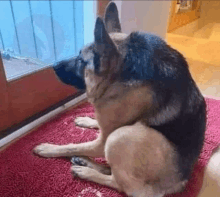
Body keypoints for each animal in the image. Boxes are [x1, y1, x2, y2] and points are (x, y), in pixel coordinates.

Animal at [34, 2, 206, 196]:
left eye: (80, 61)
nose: (54, 66)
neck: (121, 70)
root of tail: (179, 183)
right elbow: (97, 125)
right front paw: (88, 120)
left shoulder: (103, 141)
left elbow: (72, 145)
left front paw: (50, 148)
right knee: (112, 171)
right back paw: (85, 162)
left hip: (120, 137)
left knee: (120, 183)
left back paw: (86, 171)